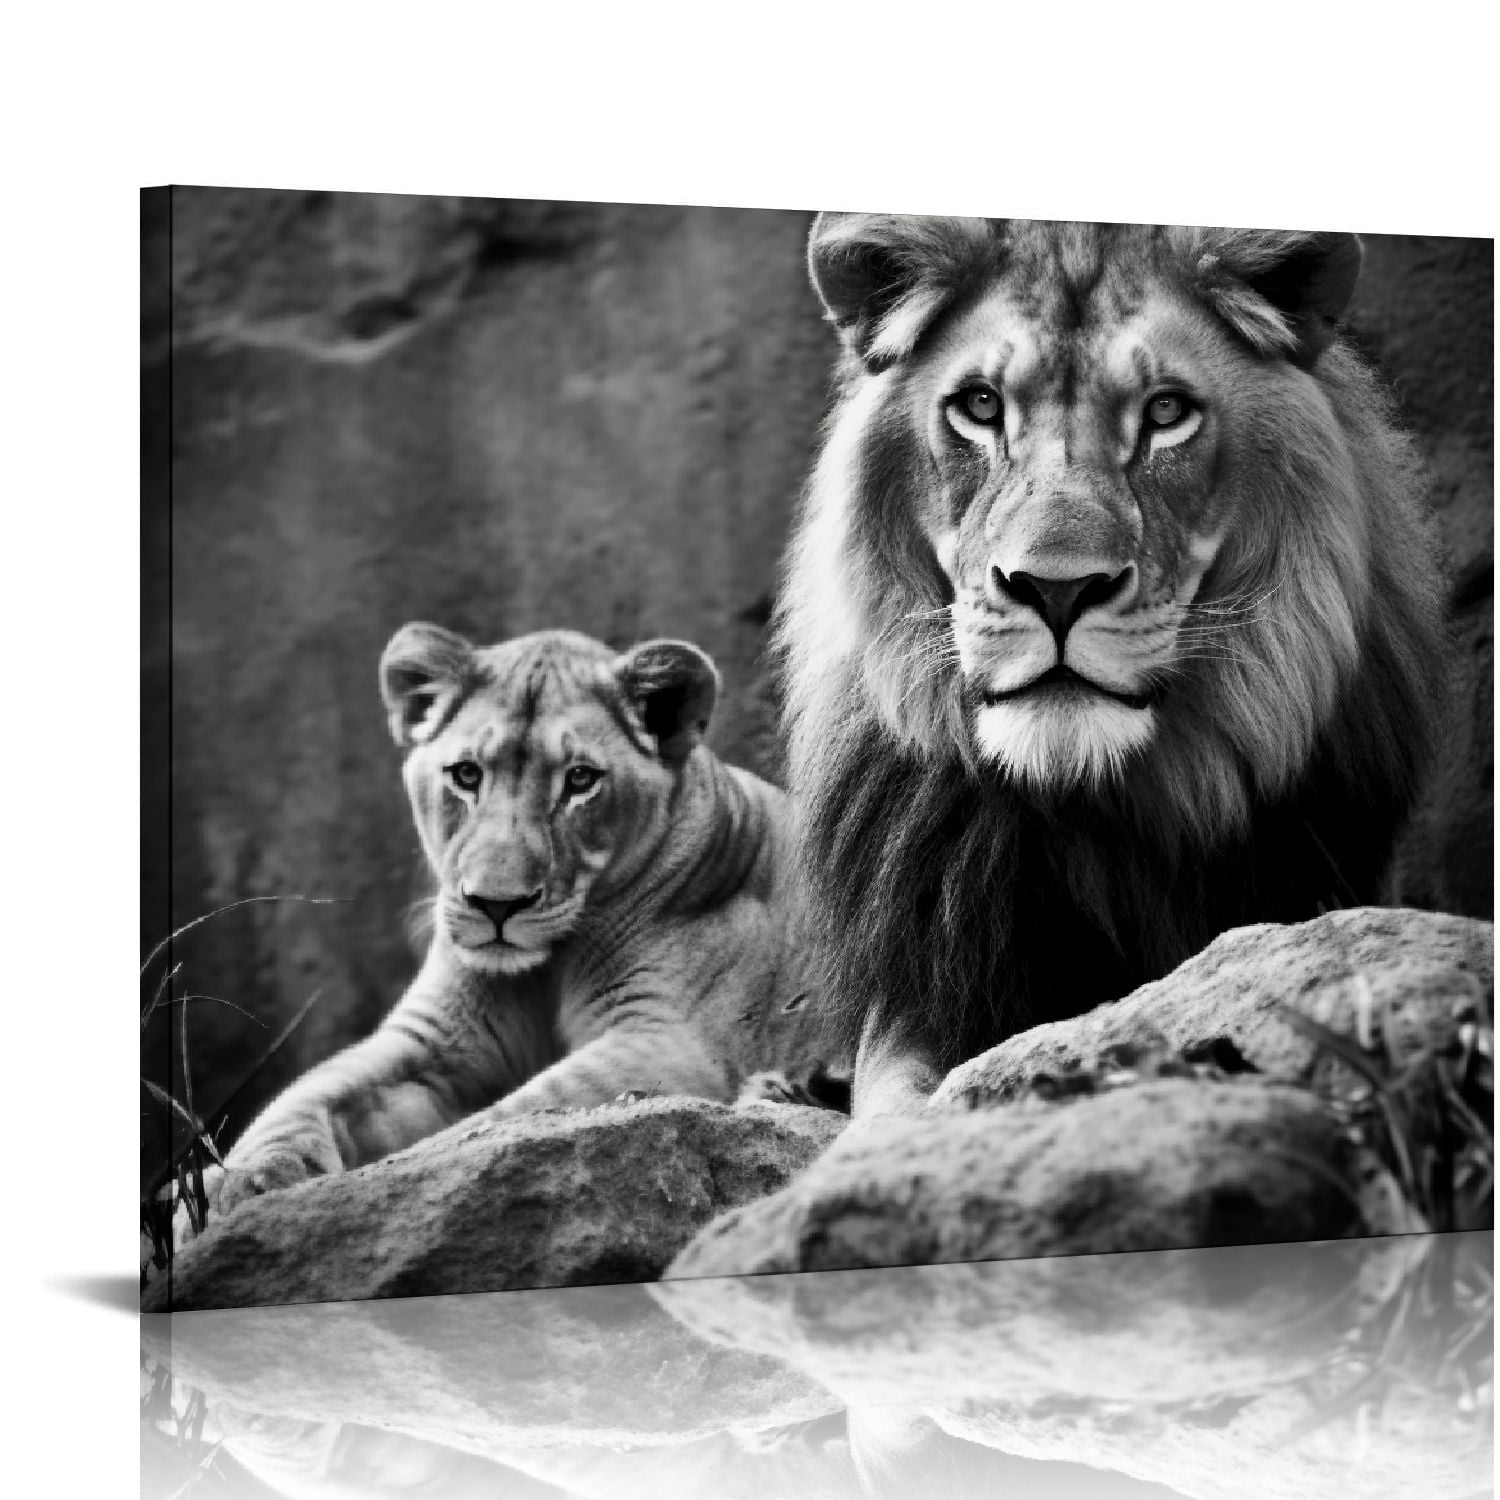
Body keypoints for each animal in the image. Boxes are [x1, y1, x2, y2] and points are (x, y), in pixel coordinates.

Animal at [182, 624, 842, 1234]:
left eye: (580, 780)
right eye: (467, 774)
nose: (497, 905)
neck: (544, 971)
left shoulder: (668, 1045)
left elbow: (488, 1126)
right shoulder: (431, 1041)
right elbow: (305, 1092)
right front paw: (244, 1180)